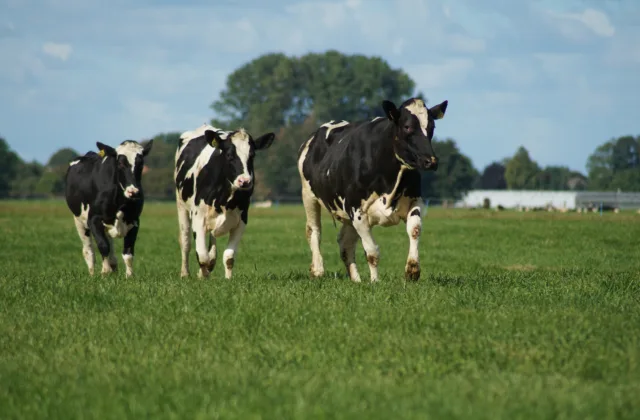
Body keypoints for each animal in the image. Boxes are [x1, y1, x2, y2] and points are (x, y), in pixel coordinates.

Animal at [65, 139, 153, 277]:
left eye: (141, 163)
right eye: (120, 163)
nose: (133, 192)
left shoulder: (134, 220)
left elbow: (128, 251)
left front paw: (129, 276)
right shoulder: (94, 219)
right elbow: (103, 246)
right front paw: (105, 272)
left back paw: (113, 266)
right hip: (79, 221)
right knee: (88, 251)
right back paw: (93, 273)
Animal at [174, 124, 275, 279]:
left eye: (252, 155)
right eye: (229, 155)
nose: (244, 181)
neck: (225, 198)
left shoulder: (242, 220)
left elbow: (229, 257)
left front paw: (227, 279)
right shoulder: (198, 217)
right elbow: (202, 256)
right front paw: (203, 275)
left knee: (212, 239)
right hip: (181, 205)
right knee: (185, 242)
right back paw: (185, 273)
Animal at [297, 97, 448, 282]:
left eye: (432, 127)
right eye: (407, 126)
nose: (431, 161)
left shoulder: (415, 199)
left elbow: (415, 229)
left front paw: (412, 269)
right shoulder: (357, 211)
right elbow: (372, 252)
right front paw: (375, 282)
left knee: (345, 243)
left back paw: (356, 280)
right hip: (308, 195)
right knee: (314, 230)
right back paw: (318, 270)